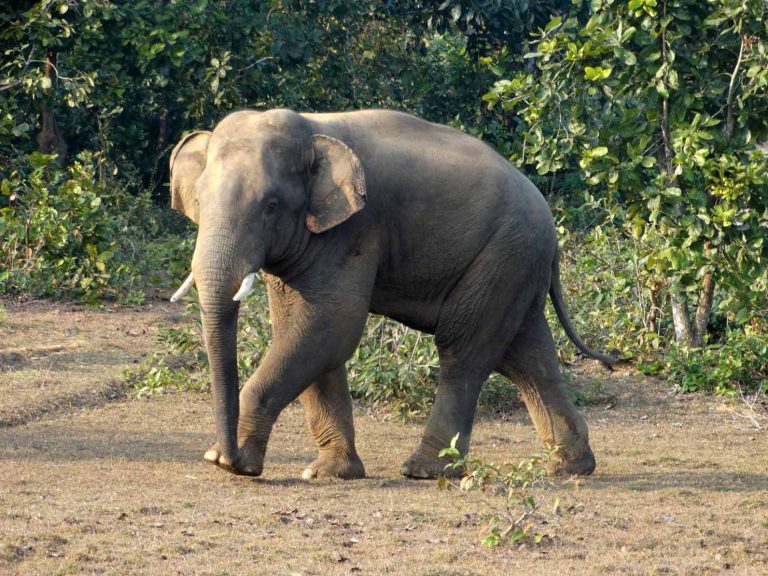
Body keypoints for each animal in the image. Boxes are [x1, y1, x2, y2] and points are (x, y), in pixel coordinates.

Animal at [168, 108, 614, 481]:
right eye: (200, 200)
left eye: (271, 205)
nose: (224, 455)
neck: (312, 131)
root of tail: (548, 221)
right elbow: (309, 334)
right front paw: (330, 473)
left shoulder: (354, 230)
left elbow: (330, 326)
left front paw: (231, 463)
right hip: (515, 264)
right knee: (526, 356)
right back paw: (569, 466)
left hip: (504, 255)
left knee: (464, 352)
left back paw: (424, 470)